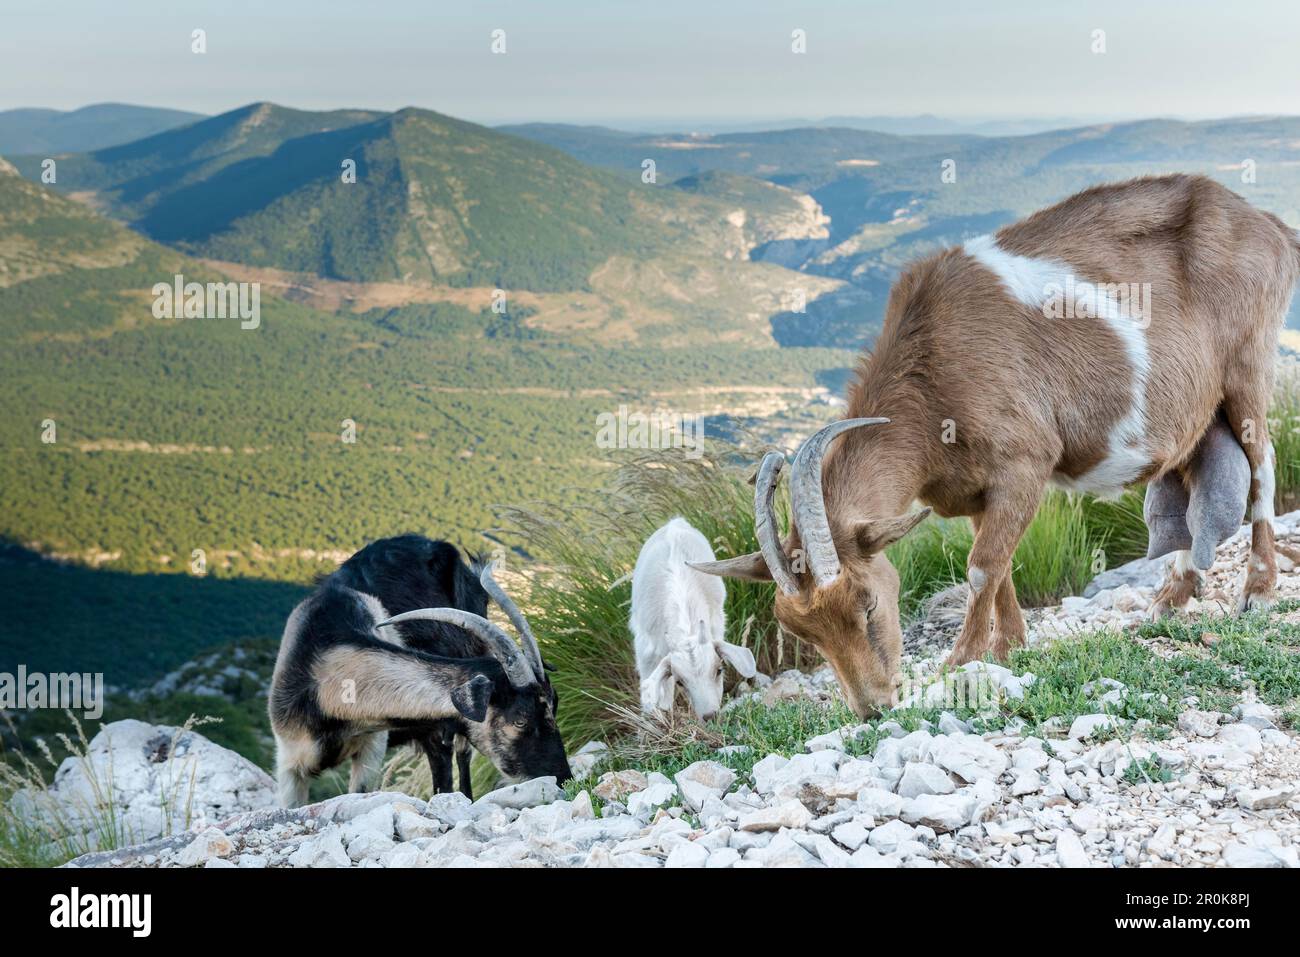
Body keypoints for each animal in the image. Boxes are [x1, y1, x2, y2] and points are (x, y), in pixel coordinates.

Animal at [696, 175, 1294, 722]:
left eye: (868, 604)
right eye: (804, 632)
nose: (873, 708)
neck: (931, 372)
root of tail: (1271, 227)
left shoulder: (1024, 464)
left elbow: (982, 566)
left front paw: (958, 661)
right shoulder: (972, 491)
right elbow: (1001, 563)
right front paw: (1010, 647)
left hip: (1247, 364)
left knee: (1261, 464)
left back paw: (1258, 590)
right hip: (1197, 406)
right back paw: (1172, 598)